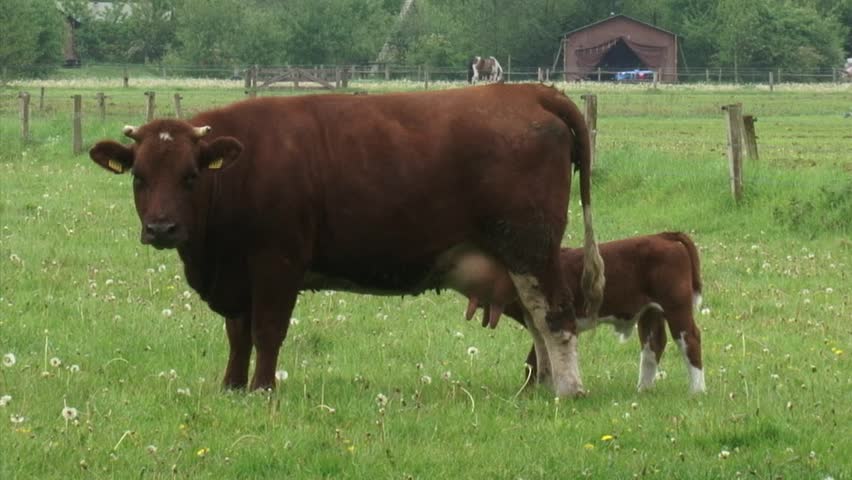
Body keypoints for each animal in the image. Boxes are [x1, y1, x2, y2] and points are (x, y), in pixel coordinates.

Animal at [88, 83, 604, 398]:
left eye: (191, 177)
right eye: (139, 176)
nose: (161, 228)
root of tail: (526, 91)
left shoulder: (277, 262)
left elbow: (267, 330)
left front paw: (262, 389)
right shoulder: (236, 274)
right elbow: (238, 333)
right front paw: (232, 386)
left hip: (531, 246)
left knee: (555, 315)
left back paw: (567, 390)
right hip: (518, 257)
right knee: (537, 318)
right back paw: (540, 387)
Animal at [466, 232, 704, 394]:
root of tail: (663, 236)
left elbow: (536, 360)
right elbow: (538, 359)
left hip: (676, 305)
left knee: (689, 339)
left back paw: (697, 391)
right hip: (650, 312)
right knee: (653, 345)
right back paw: (643, 390)